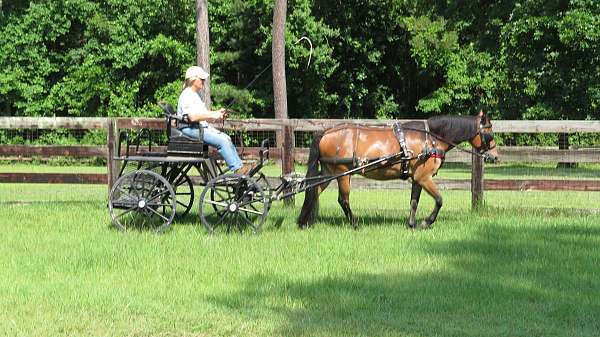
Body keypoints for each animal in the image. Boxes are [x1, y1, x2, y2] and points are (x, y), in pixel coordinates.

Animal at [298, 110, 500, 228]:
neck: (431, 139)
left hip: (329, 172)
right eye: (489, 133)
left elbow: (414, 202)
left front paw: (411, 224)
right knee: (343, 199)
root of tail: (326, 132)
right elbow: (439, 200)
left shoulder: (417, 178)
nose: (496, 156)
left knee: (313, 191)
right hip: (342, 173)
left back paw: (303, 221)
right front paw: (426, 222)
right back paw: (355, 224)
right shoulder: (425, 178)